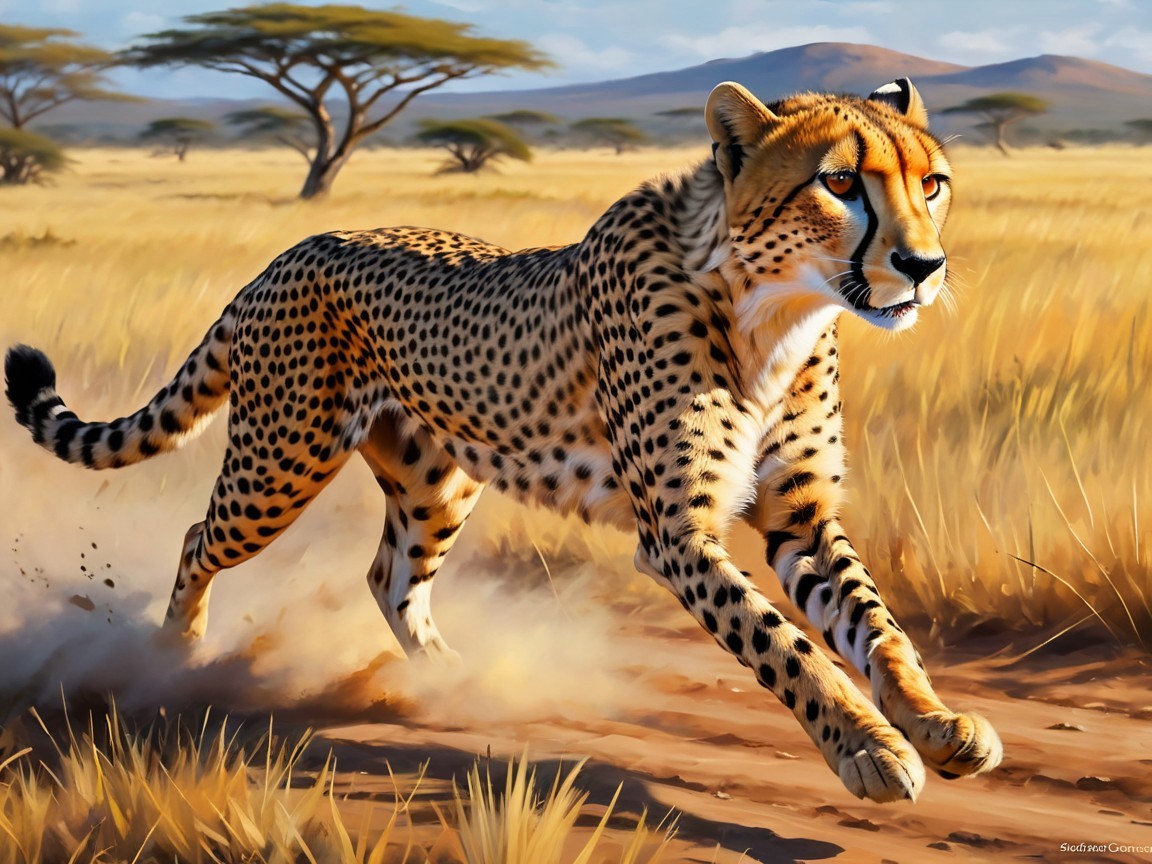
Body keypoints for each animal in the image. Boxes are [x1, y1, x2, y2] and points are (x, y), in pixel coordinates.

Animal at [5, 78, 1002, 803]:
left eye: (933, 184)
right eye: (839, 183)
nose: (923, 266)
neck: (775, 309)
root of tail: (289, 251)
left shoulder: (800, 515)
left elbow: (877, 627)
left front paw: (934, 723)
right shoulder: (677, 536)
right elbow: (788, 647)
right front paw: (868, 750)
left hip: (434, 481)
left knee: (390, 575)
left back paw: (455, 679)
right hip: (281, 461)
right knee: (197, 540)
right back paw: (173, 657)